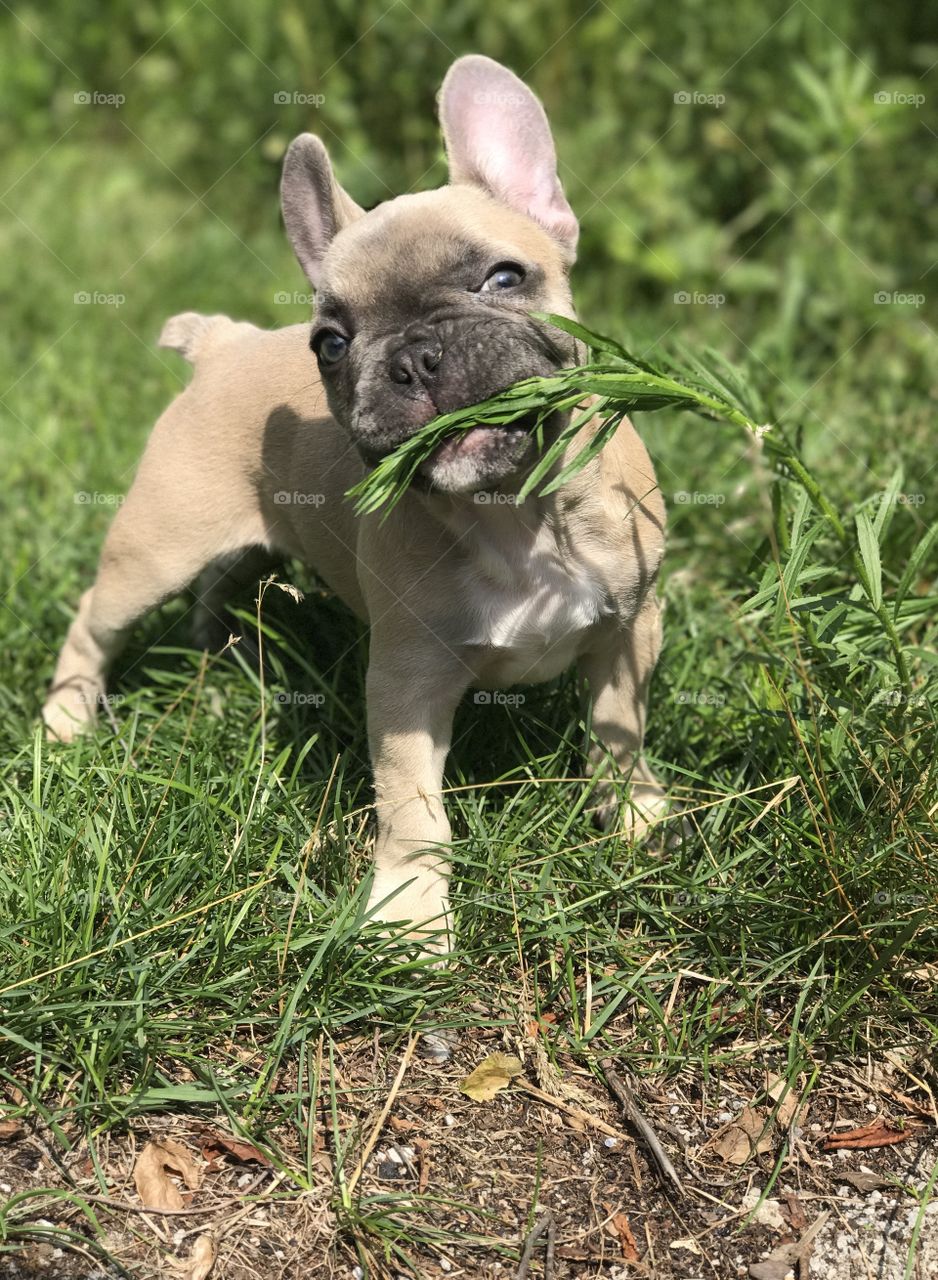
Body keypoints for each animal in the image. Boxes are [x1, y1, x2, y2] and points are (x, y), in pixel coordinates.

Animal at [43, 52, 665, 952]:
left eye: (504, 277)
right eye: (331, 344)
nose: (412, 357)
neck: (514, 513)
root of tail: (223, 344)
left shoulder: (630, 626)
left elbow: (620, 729)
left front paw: (637, 819)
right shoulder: (407, 681)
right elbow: (414, 811)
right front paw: (409, 916)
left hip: (243, 542)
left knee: (220, 585)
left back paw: (223, 656)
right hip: (153, 549)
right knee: (95, 619)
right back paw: (66, 721)